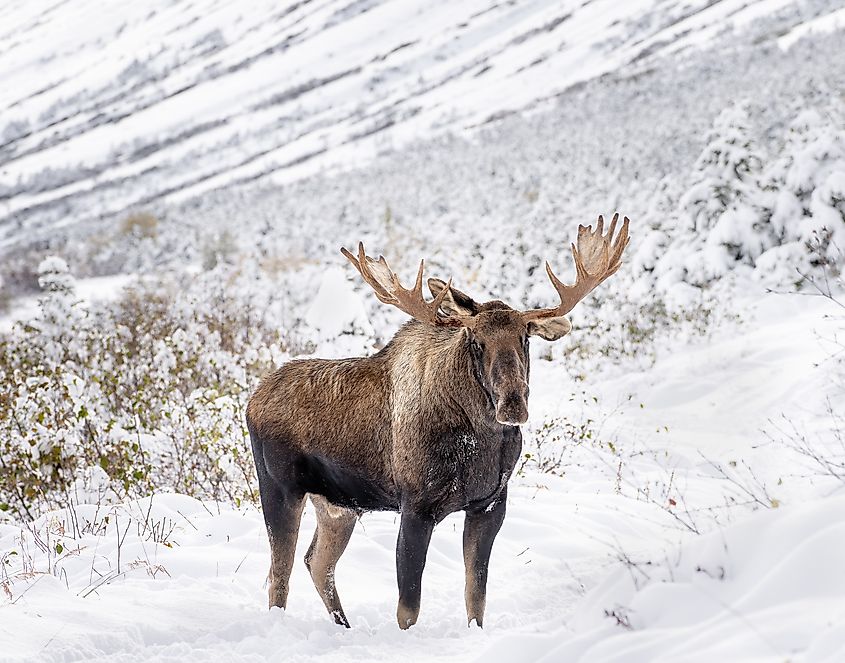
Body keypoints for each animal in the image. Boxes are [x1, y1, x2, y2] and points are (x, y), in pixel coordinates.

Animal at [244, 215, 628, 632]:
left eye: (525, 338)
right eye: (476, 340)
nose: (513, 403)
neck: (482, 441)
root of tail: (253, 399)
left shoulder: (489, 505)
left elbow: (476, 593)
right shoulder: (416, 506)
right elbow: (408, 607)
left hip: (338, 505)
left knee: (317, 563)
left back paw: (344, 626)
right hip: (279, 489)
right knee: (278, 577)